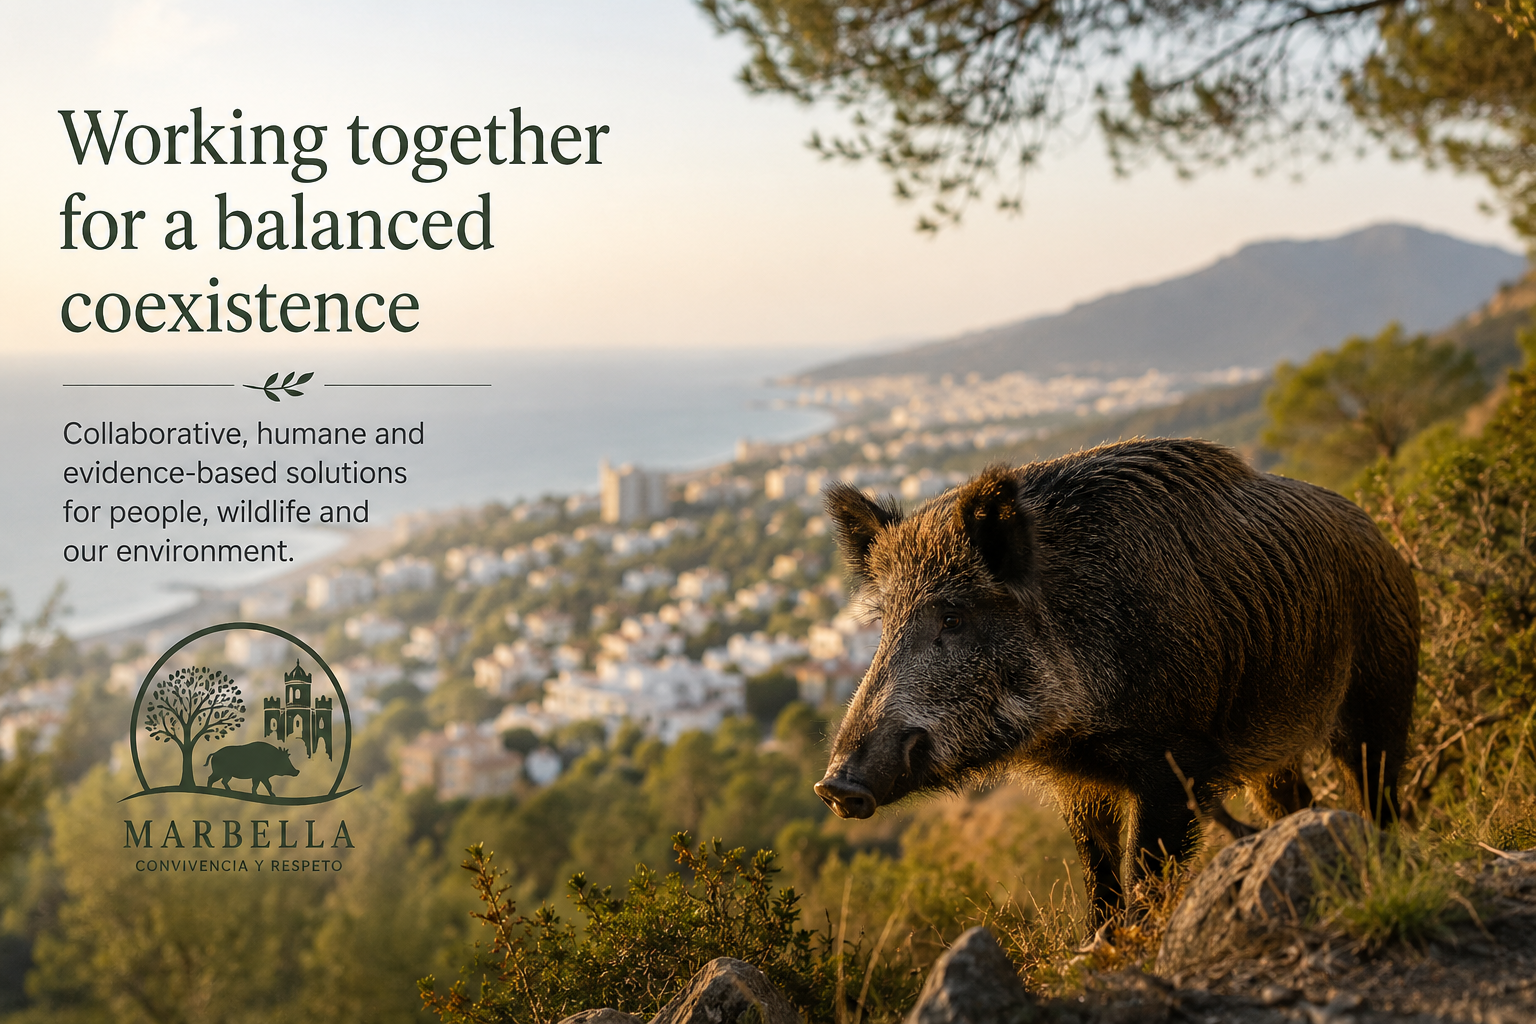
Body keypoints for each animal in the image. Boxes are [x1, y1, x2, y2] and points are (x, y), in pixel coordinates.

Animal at [815, 438, 1418, 921]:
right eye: (883, 622)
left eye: (953, 617)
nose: (835, 786)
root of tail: (1381, 536)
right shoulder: (1078, 780)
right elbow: (1098, 869)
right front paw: (1099, 943)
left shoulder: (1179, 758)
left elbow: (1146, 871)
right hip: (1272, 752)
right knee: (1297, 801)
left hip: (1382, 689)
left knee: (1380, 789)